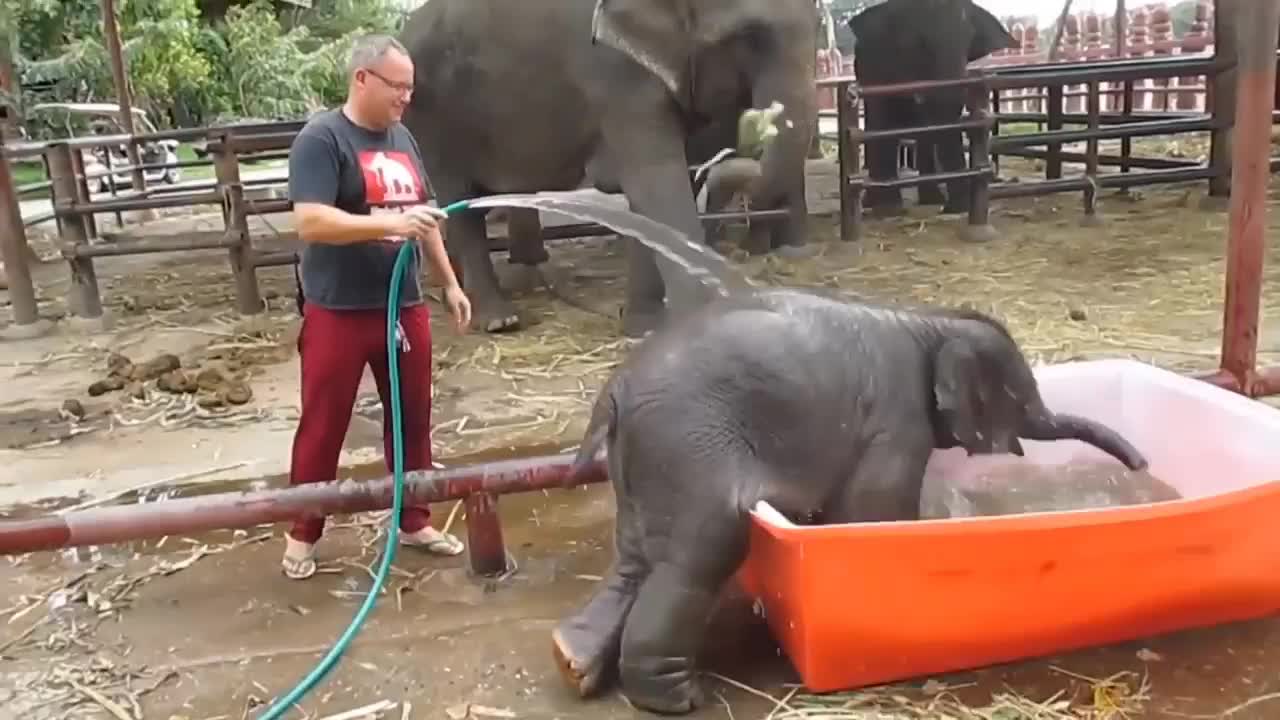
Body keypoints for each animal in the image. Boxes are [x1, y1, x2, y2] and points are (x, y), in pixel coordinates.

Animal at [401, 0, 819, 335]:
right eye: (750, 37)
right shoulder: (612, 72)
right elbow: (655, 178)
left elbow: (658, 188)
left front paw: (644, 327)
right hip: (429, 113)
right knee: (458, 197)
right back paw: (498, 320)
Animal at [550, 284, 1152, 712]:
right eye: (1023, 401)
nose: (1143, 465)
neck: (930, 320)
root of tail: (616, 390)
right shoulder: (896, 424)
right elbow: (871, 511)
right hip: (688, 444)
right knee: (700, 551)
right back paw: (680, 699)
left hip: (647, 459)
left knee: (637, 559)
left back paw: (573, 663)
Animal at [844, 0, 1013, 213]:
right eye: (920, 41)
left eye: (969, 39)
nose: (955, 208)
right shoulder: (876, 67)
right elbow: (883, 123)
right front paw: (889, 209)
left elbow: (930, 125)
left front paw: (945, 203)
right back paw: (874, 203)